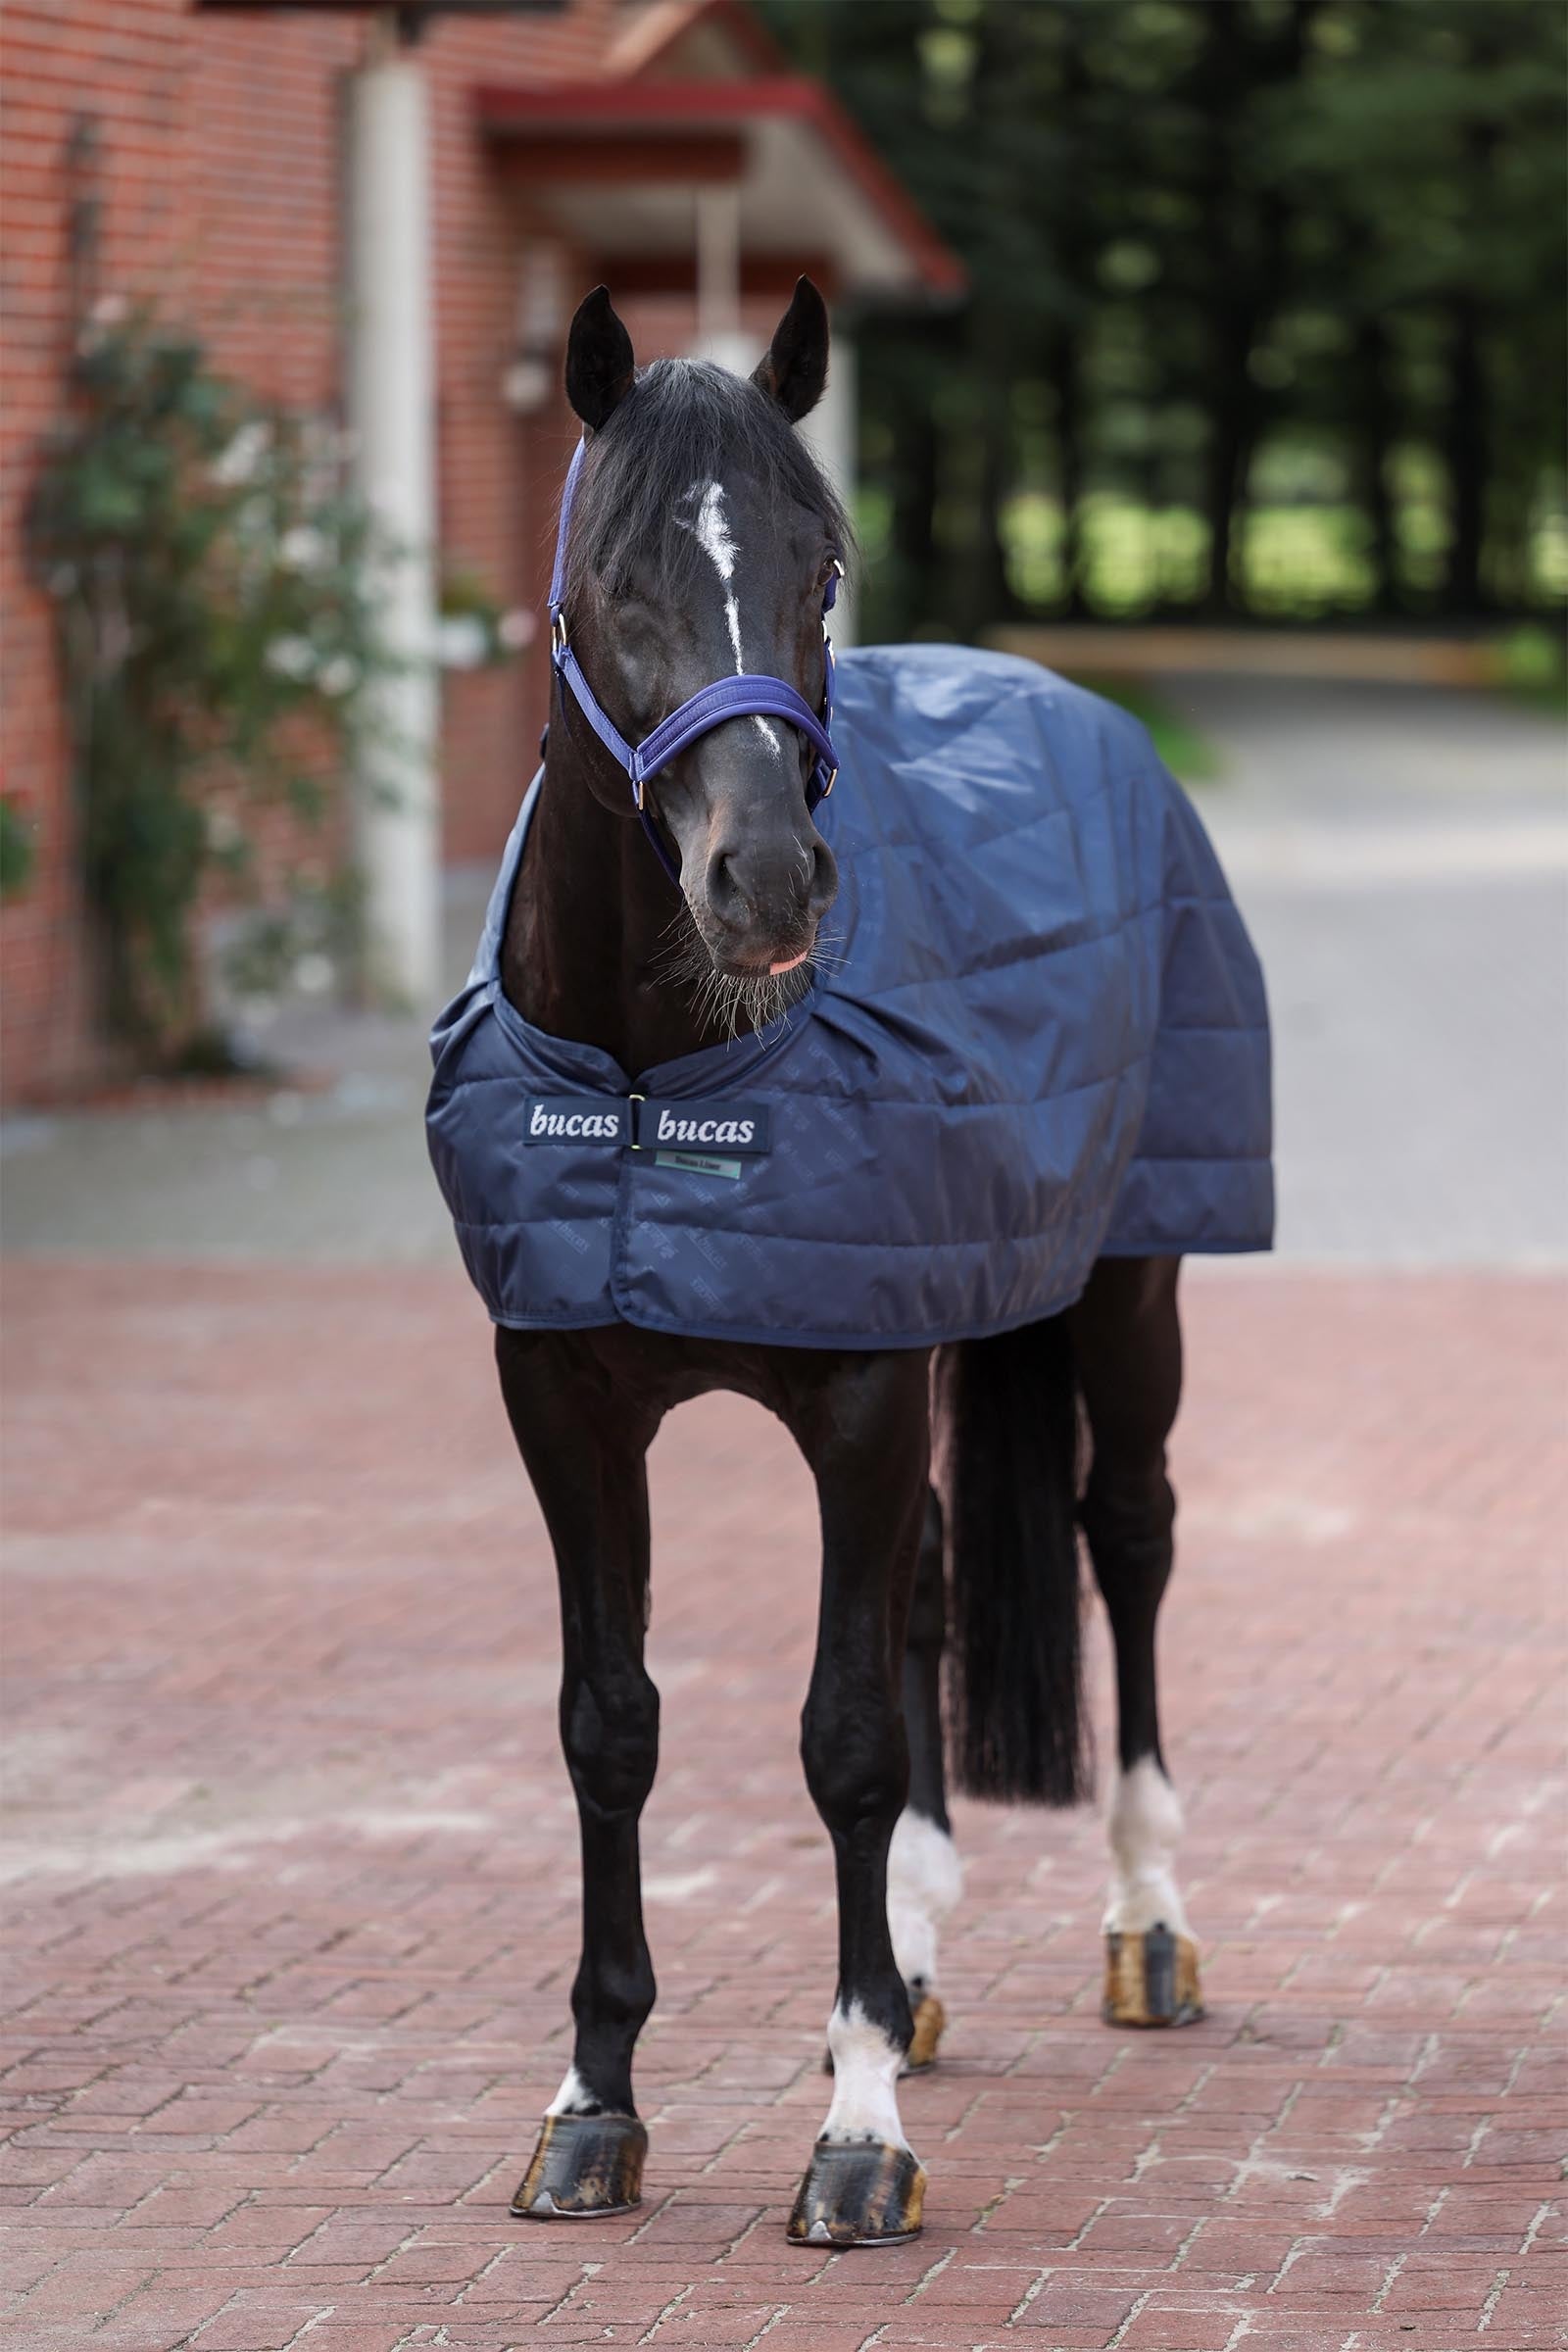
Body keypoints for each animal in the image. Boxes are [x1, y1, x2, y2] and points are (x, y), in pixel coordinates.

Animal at [426, 280, 1272, 2247]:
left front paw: (862, 2126)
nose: (768, 883)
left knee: (1128, 1541)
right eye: (613, 573)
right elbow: (611, 1725)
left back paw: (1146, 1924)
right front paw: (595, 2103)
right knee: (944, 1577)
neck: (656, 1084)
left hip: (1127, 1289)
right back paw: (927, 1957)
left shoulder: (866, 1393)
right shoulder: (564, 1400)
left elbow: (847, 1739)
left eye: (821, 567)